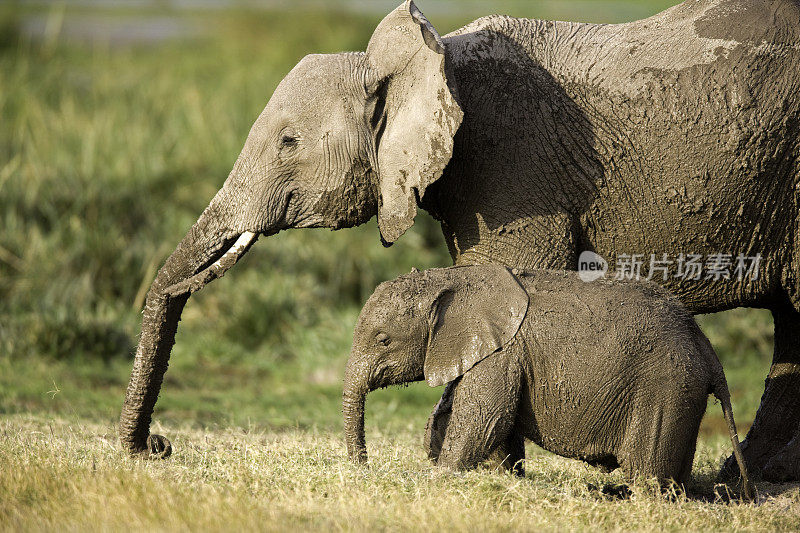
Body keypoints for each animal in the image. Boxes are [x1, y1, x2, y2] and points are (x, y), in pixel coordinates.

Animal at [346, 264, 756, 496]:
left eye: (383, 340)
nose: (363, 471)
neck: (454, 280)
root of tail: (707, 348)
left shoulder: (502, 352)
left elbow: (483, 418)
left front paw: (439, 482)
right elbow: (473, 419)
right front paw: (500, 481)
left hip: (664, 389)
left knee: (647, 470)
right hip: (681, 391)